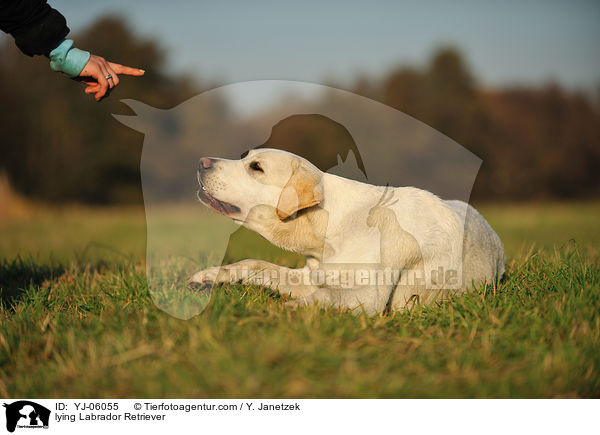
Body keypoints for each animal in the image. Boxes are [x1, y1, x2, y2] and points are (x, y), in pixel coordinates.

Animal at [190, 149, 504, 314]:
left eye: (256, 167)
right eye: (245, 158)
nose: (202, 161)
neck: (330, 228)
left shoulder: (369, 298)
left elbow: (325, 296)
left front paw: (287, 310)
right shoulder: (309, 276)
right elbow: (254, 264)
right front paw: (209, 276)